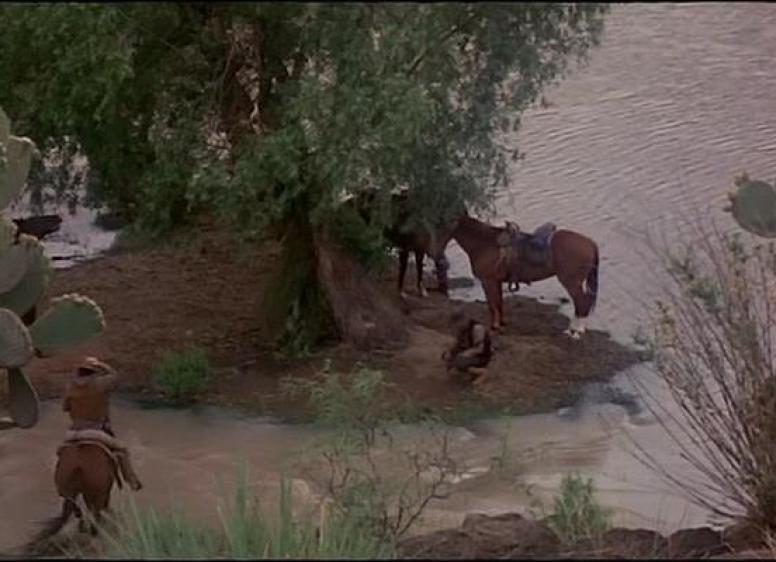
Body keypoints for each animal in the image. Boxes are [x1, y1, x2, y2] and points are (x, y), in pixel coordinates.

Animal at [432, 214, 599, 338]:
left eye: (442, 228)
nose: (436, 253)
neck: (484, 243)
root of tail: (590, 243)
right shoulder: (497, 281)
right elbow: (499, 303)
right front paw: (502, 323)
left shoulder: (488, 281)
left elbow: (492, 305)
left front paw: (494, 327)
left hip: (571, 282)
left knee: (582, 302)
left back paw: (575, 331)